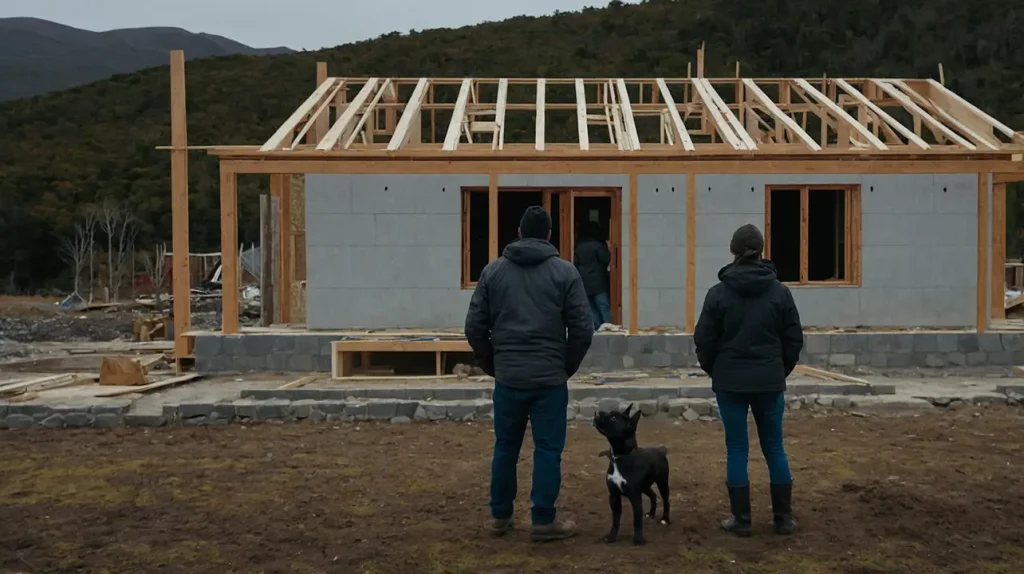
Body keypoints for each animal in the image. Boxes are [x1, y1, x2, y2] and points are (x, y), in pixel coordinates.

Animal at [593, 401, 671, 544]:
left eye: (614, 418)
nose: (598, 412)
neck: (621, 457)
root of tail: (660, 450)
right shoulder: (614, 495)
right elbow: (616, 519)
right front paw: (612, 537)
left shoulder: (635, 495)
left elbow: (637, 518)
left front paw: (638, 539)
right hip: (645, 486)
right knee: (653, 496)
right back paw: (651, 513)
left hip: (662, 483)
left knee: (665, 500)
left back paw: (665, 519)